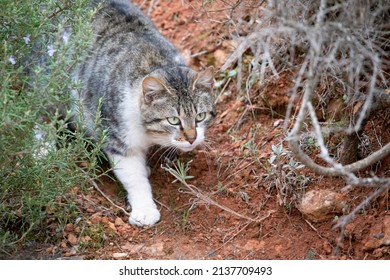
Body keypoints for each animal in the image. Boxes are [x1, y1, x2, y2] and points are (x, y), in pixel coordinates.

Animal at [71, 0, 216, 226]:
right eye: (173, 120)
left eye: (200, 116)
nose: (192, 138)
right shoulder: (117, 138)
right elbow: (134, 177)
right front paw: (145, 210)